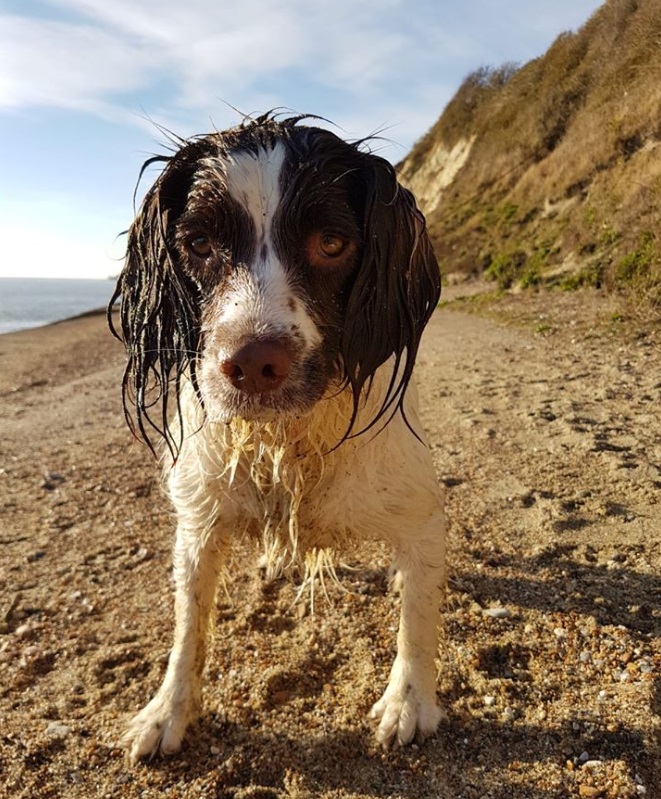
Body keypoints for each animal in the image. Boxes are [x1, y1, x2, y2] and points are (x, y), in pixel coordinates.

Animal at [109, 112, 448, 764]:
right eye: (199, 245)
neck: (287, 441)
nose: (252, 363)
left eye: (332, 243)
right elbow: (189, 626)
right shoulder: (199, 520)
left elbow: (417, 619)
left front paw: (408, 703)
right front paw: (167, 713)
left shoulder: (421, 515)